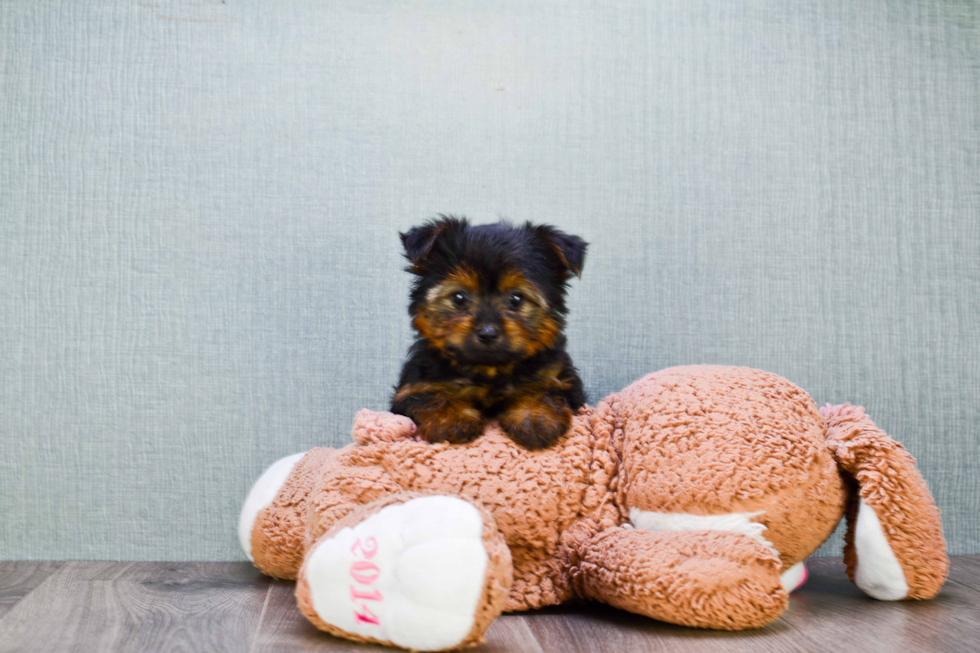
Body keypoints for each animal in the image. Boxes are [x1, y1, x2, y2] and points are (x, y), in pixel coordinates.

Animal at [390, 214, 588, 448]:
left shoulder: (559, 376)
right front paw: (452, 420)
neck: (489, 369)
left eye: (516, 299)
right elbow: (429, 396)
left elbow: (545, 388)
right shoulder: (414, 385)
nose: (487, 333)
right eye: (459, 298)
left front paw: (535, 418)